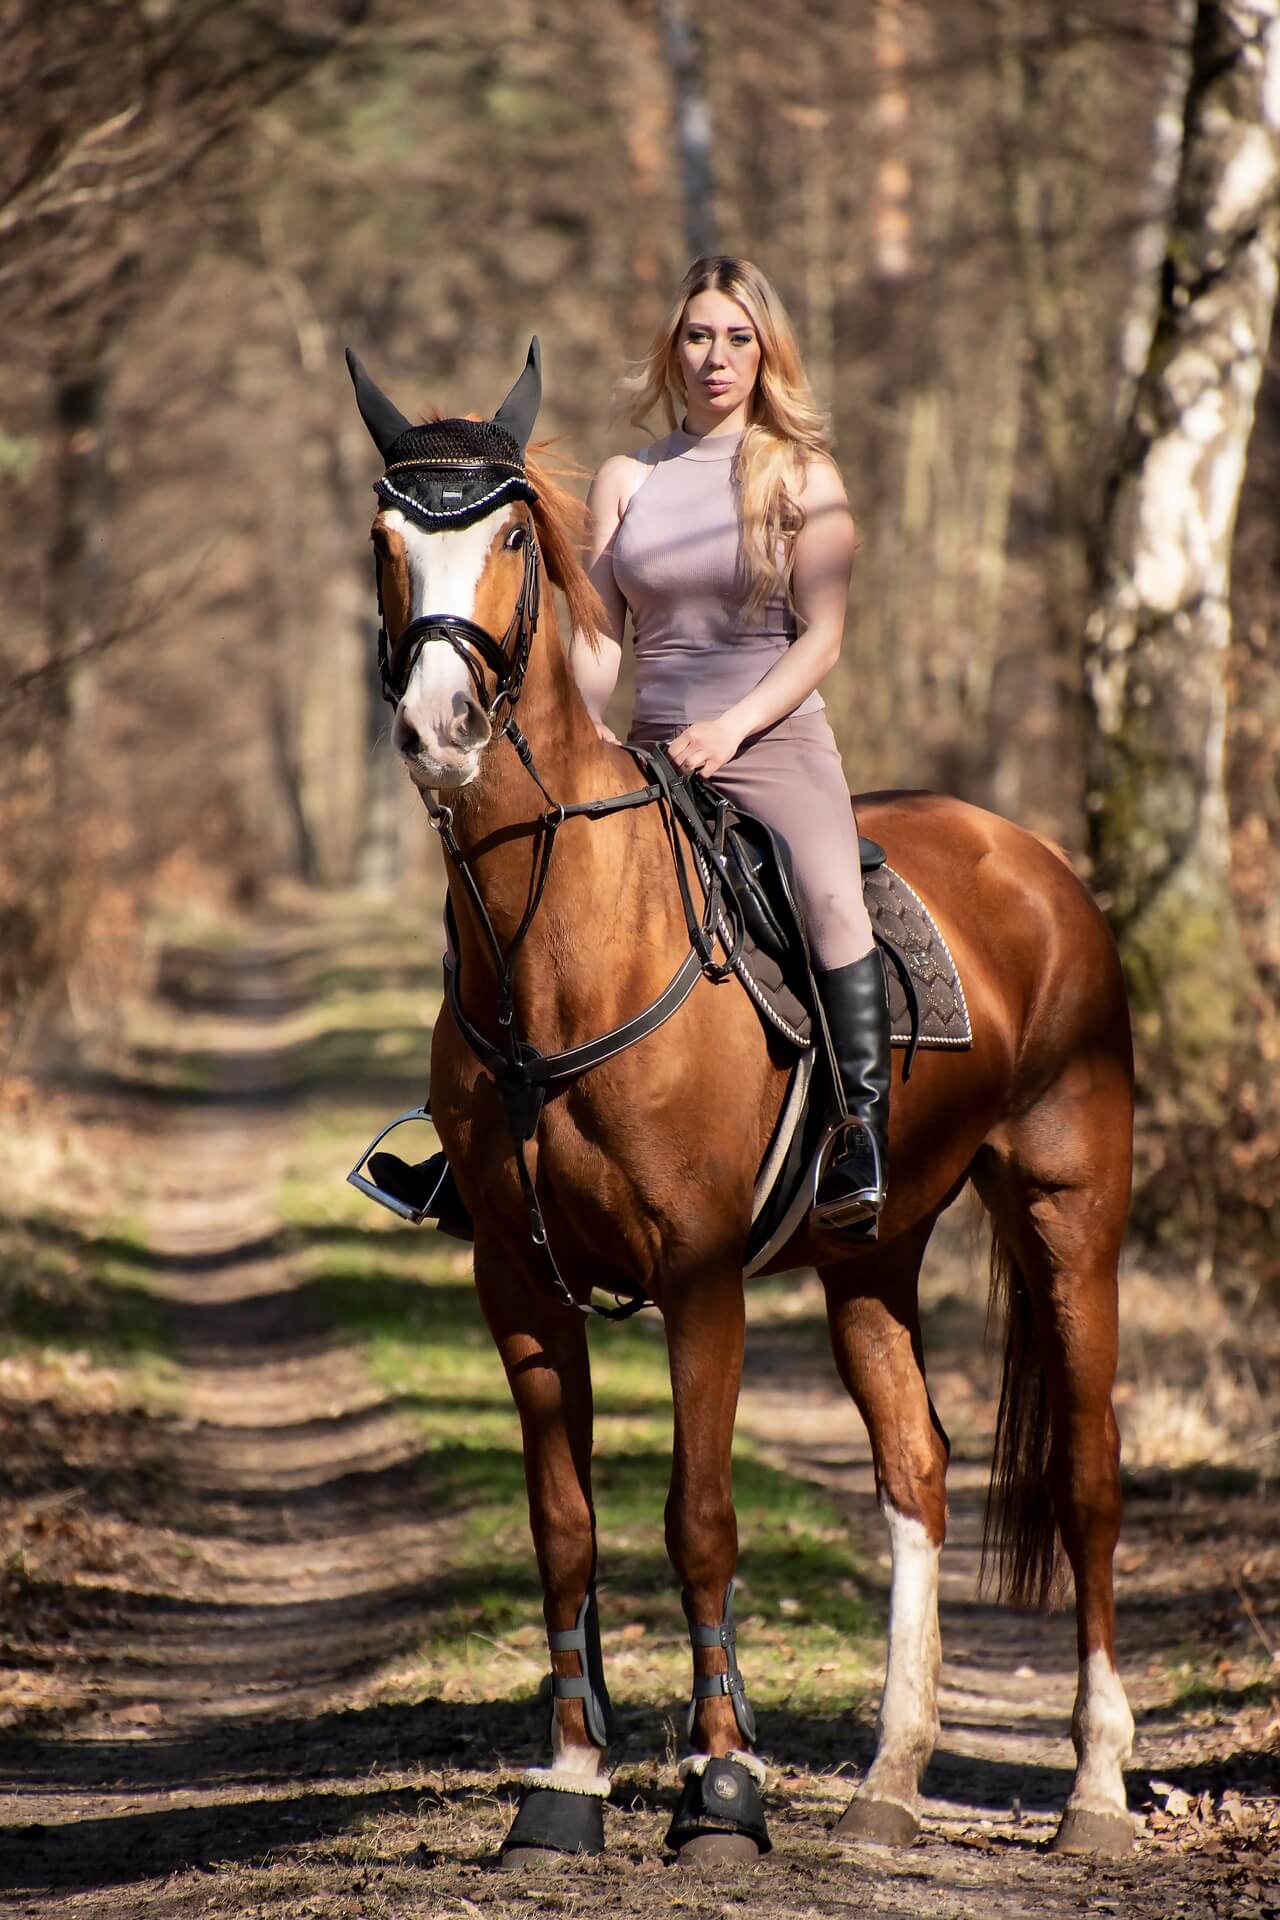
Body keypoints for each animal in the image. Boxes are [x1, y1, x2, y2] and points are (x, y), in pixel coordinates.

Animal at [345, 341, 1136, 1858]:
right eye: (384, 538)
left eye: (513, 535)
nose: (439, 726)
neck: (561, 943)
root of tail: (1036, 864)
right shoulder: (518, 1286)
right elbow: (565, 1528)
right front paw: (569, 1781)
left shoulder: (701, 1276)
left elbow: (698, 1518)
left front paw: (720, 1784)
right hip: (872, 1249)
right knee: (916, 1468)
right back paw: (889, 1782)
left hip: (1070, 1212)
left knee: (1085, 1475)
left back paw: (1097, 1791)